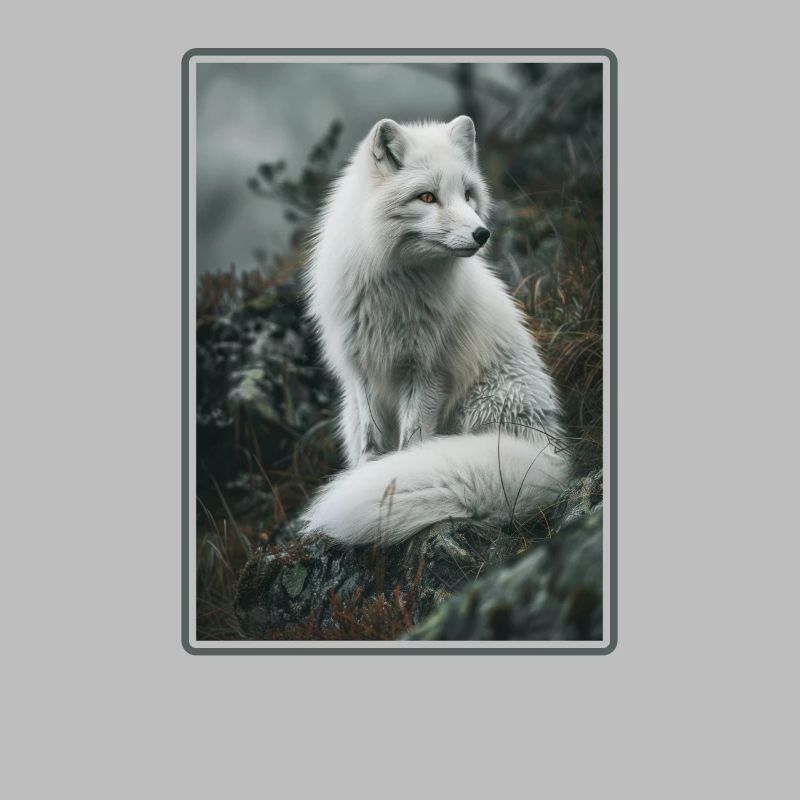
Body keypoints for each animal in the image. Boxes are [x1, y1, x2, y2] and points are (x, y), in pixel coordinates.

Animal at [301, 115, 571, 546]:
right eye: (427, 197)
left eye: (468, 194)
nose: (482, 234)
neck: (395, 289)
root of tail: (549, 453)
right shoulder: (362, 370)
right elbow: (371, 443)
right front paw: (367, 474)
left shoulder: (427, 371)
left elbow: (412, 444)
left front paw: (390, 477)